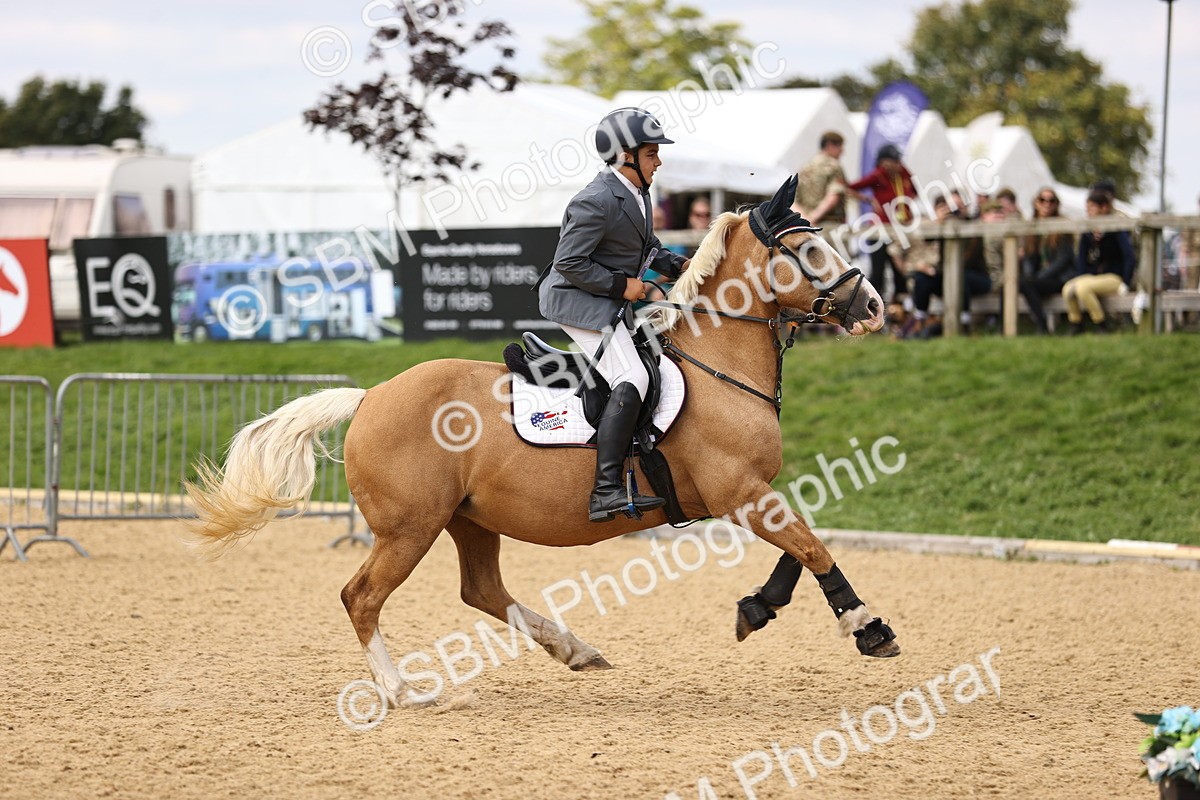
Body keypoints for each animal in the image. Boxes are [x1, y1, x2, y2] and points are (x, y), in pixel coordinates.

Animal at [187, 178, 899, 709]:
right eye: (810, 252)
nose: (873, 307)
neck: (717, 363)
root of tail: (371, 396)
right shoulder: (738, 493)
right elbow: (812, 546)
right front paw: (869, 629)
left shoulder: (752, 493)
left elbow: (800, 547)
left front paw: (758, 608)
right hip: (410, 527)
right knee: (362, 597)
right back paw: (400, 692)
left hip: (468, 519)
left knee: (480, 589)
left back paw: (574, 650)